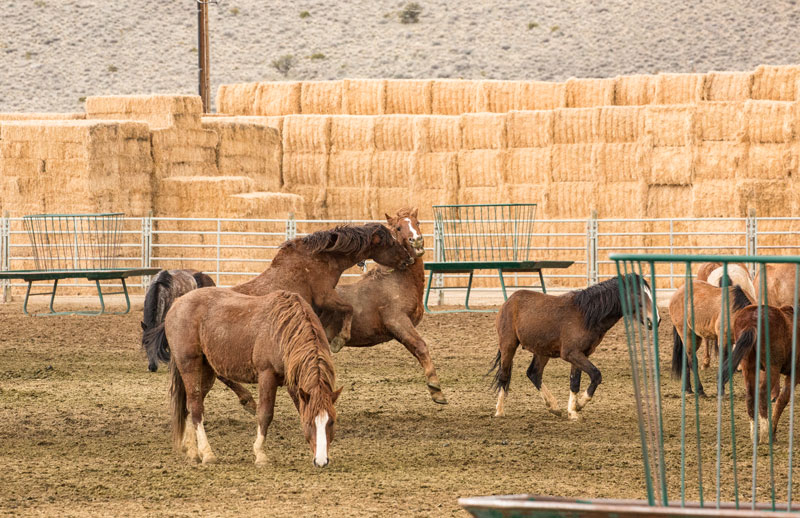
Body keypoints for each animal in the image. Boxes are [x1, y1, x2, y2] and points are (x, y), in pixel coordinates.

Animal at [161, 290, 340, 470]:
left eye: (331, 422)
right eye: (310, 423)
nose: (321, 461)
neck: (284, 330)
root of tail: (177, 302)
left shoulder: (294, 383)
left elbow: (299, 408)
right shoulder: (267, 375)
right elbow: (265, 414)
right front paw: (260, 454)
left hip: (206, 371)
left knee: (190, 406)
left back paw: (192, 451)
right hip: (189, 366)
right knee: (196, 408)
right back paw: (207, 453)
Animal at [316, 207, 446, 406]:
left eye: (417, 223)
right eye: (398, 228)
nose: (417, 240)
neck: (395, 280)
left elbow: (417, 350)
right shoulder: (397, 321)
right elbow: (421, 346)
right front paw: (435, 388)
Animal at [490, 276, 660, 422]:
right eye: (638, 294)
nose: (656, 320)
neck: (586, 315)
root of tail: (509, 301)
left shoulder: (580, 354)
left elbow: (574, 382)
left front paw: (572, 411)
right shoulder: (572, 354)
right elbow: (596, 375)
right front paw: (579, 405)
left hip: (542, 351)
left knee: (534, 374)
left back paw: (553, 406)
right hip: (508, 345)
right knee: (504, 375)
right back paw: (499, 411)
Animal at [724, 304, 800, 446]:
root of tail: (751, 322)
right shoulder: (795, 373)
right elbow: (782, 399)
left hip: (748, 366)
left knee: (750, 396)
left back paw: (755, 435)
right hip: (772, 367)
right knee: (763, 395)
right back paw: (765, 435)